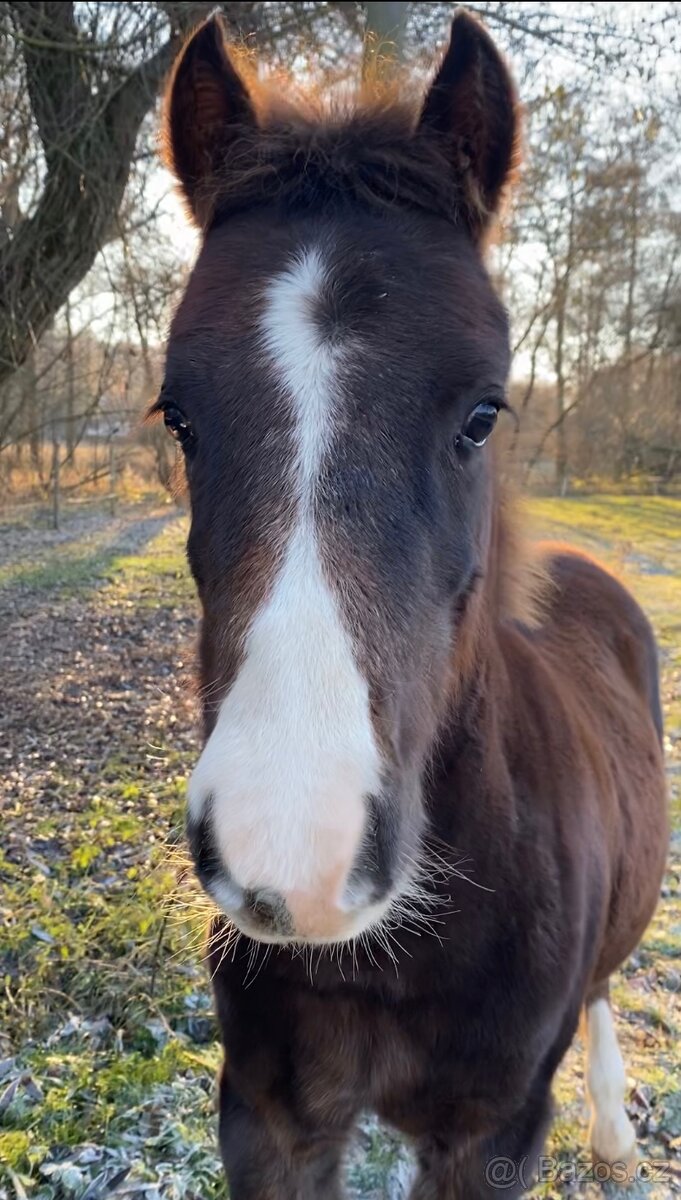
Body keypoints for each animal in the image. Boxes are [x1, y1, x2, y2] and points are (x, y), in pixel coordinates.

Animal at [157, 11, 669, 1197]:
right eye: (178, 417)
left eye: (483, 413)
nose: (291, 854)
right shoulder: (270, 1120)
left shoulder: (492, 1137)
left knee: (606, 984)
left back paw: (616, 1134)